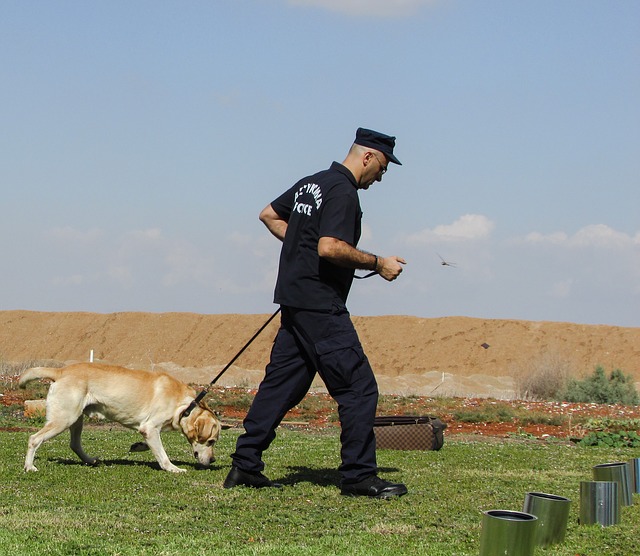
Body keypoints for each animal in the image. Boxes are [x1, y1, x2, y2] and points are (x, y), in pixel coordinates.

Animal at [18, 364, 222, 474]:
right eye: (211, 441)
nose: (213, 460)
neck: (186, 406)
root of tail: (60, 371)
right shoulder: (150, 427)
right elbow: (162, 455)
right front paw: (172, 468)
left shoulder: (149, 430)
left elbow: (153, 445)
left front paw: (139, 446)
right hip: (64, 418)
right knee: (34, 439)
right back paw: (29, 466)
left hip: (76, 419)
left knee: (74, 444)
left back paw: (90, 460)